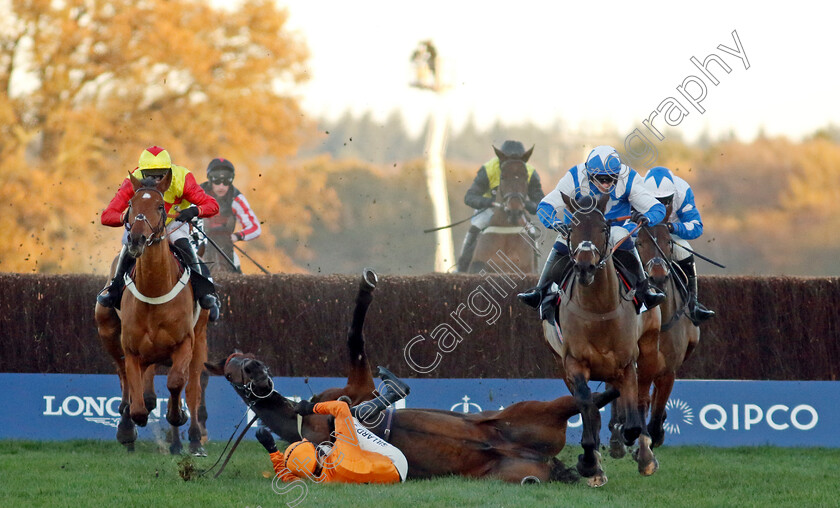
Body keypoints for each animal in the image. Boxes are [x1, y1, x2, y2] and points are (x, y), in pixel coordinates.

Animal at [93, 173, 207, 454]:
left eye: (159, 206)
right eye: (131, 205)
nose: (136, 239)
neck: (155, 290)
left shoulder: (184, 342)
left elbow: (177, 382)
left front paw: (177, 415)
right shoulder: (132, 348)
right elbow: (136, 402)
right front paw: (128, 426)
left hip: (200, 339)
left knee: (193, 386)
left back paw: (195, 439)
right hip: (107, 329)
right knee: (124, 376)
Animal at [207, 270, 620, 484]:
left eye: (247, 355)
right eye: (229, 368)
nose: (258, 372)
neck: (302, 421)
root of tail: (541, 459)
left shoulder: (355, 390)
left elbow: (356, 341)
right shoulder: (357, 391)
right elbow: (354, 338)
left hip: (533, 415)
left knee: (594, 396)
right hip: (529, 441)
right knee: (591, 399)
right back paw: (595, 457)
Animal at [540, 193, 664, 484]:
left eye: (604, 228)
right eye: (571, 229)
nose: (585, 266)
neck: (598, 311)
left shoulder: (627, 364)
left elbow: (632, 419)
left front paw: (632, 444)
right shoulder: (572, 362)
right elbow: (587, 406)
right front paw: (589, 462)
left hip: (649, 349)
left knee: (642, 400)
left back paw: (645, 455)